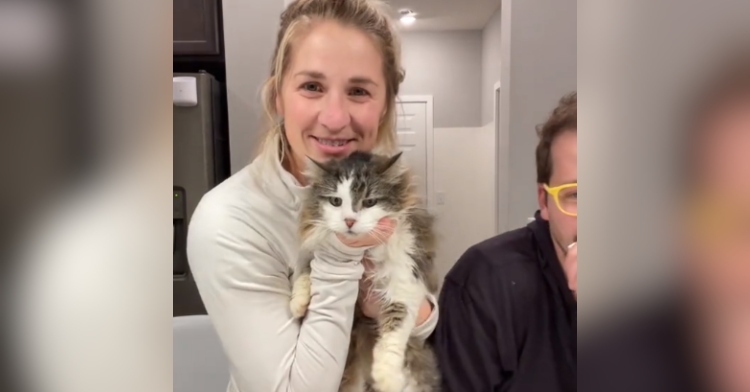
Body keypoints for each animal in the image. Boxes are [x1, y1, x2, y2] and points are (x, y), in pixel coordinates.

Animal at [288, 151, 440, 392]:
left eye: (369, 202)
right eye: (336, 201)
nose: (349, 220)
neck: (365, 253)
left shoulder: (403, 281)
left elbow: (393, 334)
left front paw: (387, 378)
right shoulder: (314, 249)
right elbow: (305, 273)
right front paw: (298, 304)